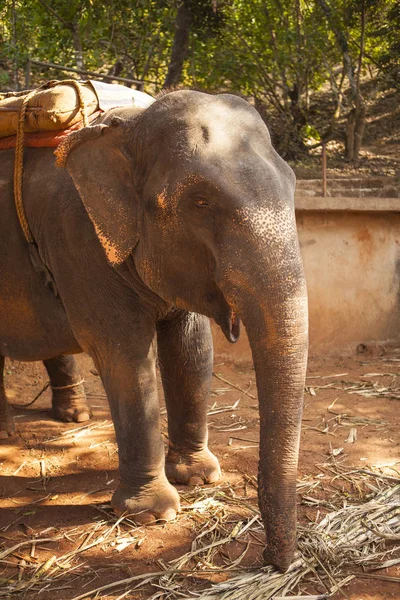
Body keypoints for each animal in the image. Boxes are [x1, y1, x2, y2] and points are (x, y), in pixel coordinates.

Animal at [0, 90, 308, 572]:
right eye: (200, 202)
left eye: (293, 184)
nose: (276, 562)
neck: (129, 126)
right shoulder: (77, 234)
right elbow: (123, 350)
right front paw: (153, 515)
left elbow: (191, 347)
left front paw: (199, 477)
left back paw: (70, 418)